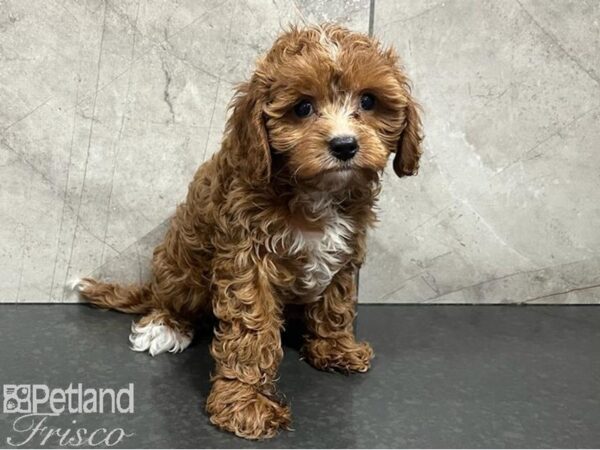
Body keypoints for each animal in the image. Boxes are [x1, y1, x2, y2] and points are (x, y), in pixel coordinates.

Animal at [74, 23, 422, 440]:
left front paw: (335, 348)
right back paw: (163, 326)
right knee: (171, 300)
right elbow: (250, 333)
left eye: (369, 101)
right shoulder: (247, 257)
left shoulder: (345, 251)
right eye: (302, 108)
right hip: (183, 269)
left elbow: (336, 303)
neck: (316, 191)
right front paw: (245, 404)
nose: (344, 145)